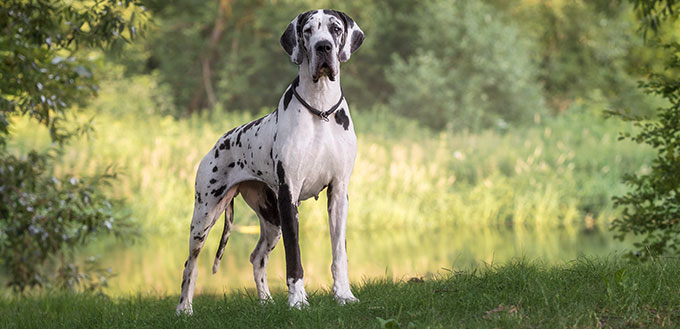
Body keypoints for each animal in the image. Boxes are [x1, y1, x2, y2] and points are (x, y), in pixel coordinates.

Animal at [177, 9, 366, 312]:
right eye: (308, 31)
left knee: (257, 257)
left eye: (335, 29)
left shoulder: (339, 193)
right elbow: (294, 259)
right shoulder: (289, 197)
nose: (323, 47)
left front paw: (343, 295)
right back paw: (184, 308)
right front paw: (298, 300)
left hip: (271, 221)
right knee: (190, 264)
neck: (321, 109)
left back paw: (265, 301)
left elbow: (339, 254)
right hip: (204, 215)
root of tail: (219, 141)